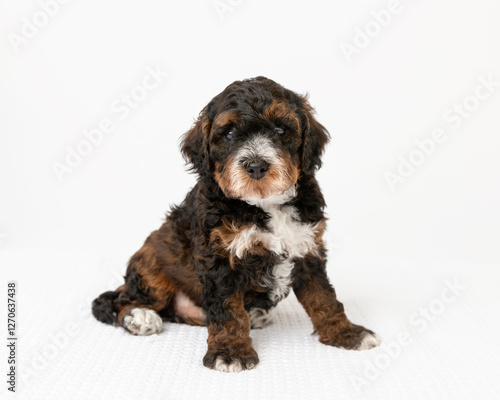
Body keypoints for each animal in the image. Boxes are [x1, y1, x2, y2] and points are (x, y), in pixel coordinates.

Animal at [92, 77, 380, 372]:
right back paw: (139, 316)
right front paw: (230, 352)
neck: (265, 203)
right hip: (152, 264)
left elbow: (324, 297)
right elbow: (227, 310)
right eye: (229, 134)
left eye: (280, 130)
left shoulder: (308, 247)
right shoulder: (219, 257)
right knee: (124, 298)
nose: (256, 166)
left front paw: (346, 333)